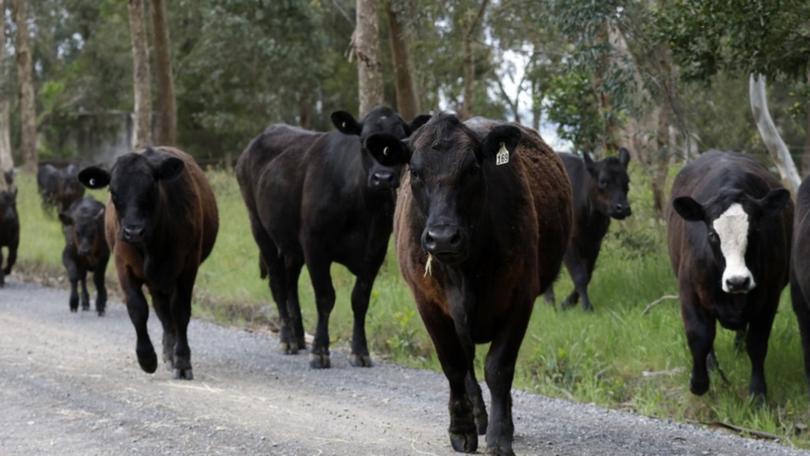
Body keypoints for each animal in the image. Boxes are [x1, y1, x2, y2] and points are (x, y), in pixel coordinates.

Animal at [235, 105, 430, 368]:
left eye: (399, 142)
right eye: (365, 141)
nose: (383, 178)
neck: (362, 208)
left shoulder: (375, 250)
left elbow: (360, 300)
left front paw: (360, 351)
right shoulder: (315, 245)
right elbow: (325, 297)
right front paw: (320, 351)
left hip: (291, 245)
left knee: (290, 283)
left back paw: (299, 337)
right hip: (260, 228)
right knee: (278, 284)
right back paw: (287, 339)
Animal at [362, 113, 572, 452]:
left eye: (473, 169)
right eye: (415, 172)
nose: (442, 237)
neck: (465, 272)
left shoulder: (521, 297)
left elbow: (498, 368)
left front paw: (500, 435)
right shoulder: (428, 303)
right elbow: (455, 365)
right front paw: (461, 429)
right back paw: (478, 417)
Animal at [544, 150, 632, 310]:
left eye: (627, 181)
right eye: (603, 181)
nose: (623, 208)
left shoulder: (595, 243)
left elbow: (588, 273)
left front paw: (568, 302)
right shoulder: (570, 243)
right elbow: (580, 275)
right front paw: (586, 306)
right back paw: (549, 301)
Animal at [664, 151, 792, 400]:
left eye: (755, 231)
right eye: (713, 234)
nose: (737, 281)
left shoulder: (770, 296)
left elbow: (757, 343)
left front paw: (758, 393)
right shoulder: (689, 290)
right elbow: (700, 336)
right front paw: (699, 382)